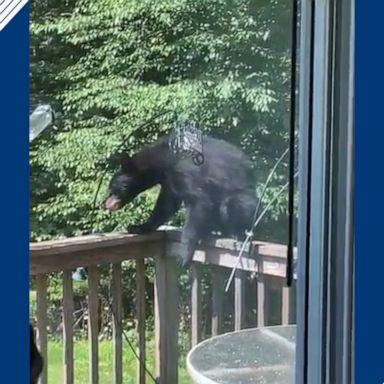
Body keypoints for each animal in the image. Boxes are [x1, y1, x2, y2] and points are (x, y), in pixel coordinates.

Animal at [102, 134, 258, 266]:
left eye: (111, 189)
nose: (103, 204)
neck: (163, 161)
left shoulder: (185, 170)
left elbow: (199, 201)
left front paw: (184, 255)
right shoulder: (168, 180)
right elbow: (166, 205)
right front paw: (139, 227)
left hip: (245, 202)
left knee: (231, 205)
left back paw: (235, 234)